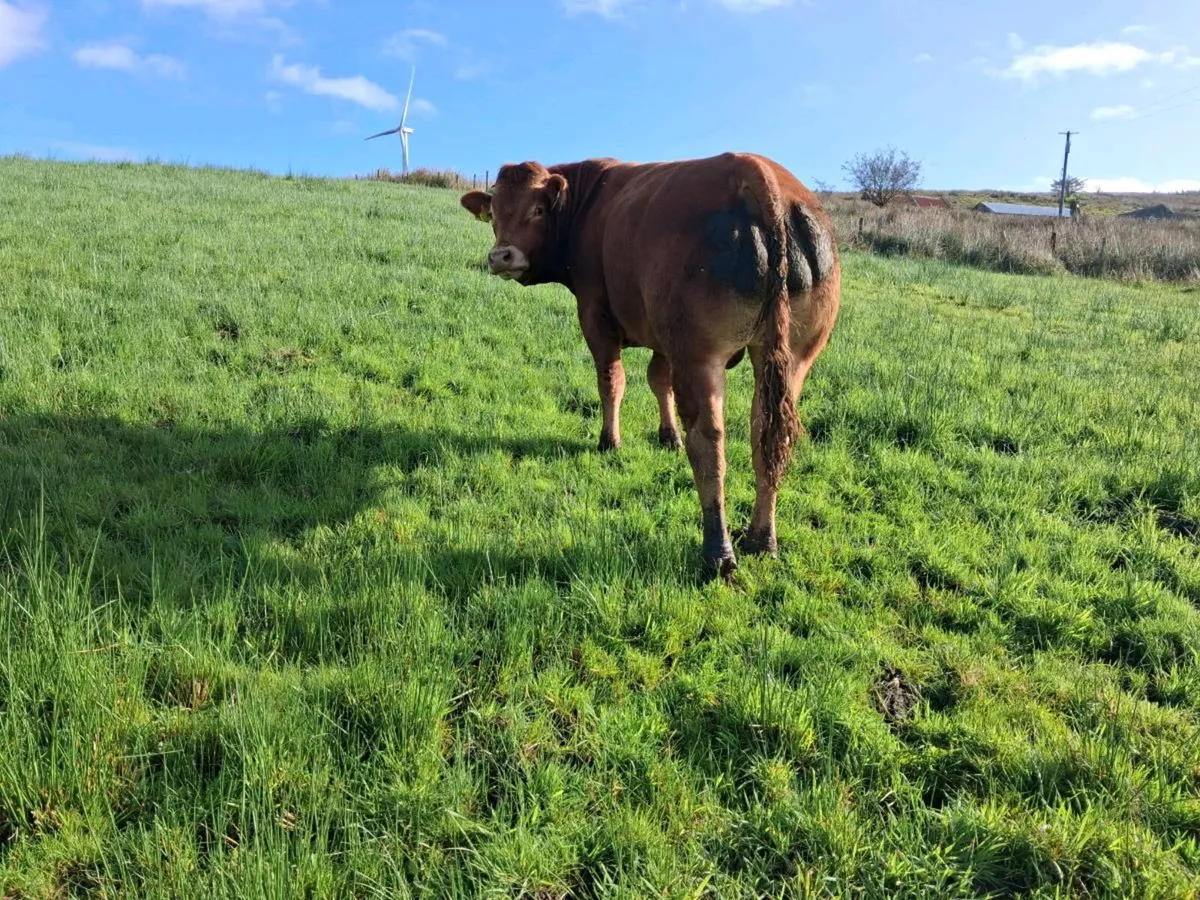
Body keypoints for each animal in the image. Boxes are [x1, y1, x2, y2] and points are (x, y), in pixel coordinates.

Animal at [460, 152, 840, 581]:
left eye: (537, 210)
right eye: (494, 213)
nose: (501, 256)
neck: (588, 202)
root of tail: (756, 170)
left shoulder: (596, 316)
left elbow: (612, 381)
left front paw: (610, 440)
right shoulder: (664, 340)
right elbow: (659, 381)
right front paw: (667, 435)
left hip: (699, 357)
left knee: (709, 444)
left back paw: (717, 553)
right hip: (790, 361)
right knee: (767, 435)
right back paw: (761, 539)